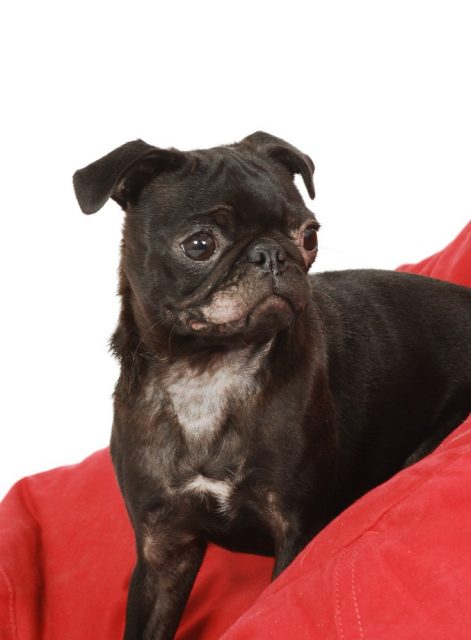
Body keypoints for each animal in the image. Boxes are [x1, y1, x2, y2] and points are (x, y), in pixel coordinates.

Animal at [72, 132, 471, 636]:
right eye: (199, 244)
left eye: (309, 235)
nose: (272, 254)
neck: (207, 373)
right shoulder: (163, 549)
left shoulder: (295, 527)